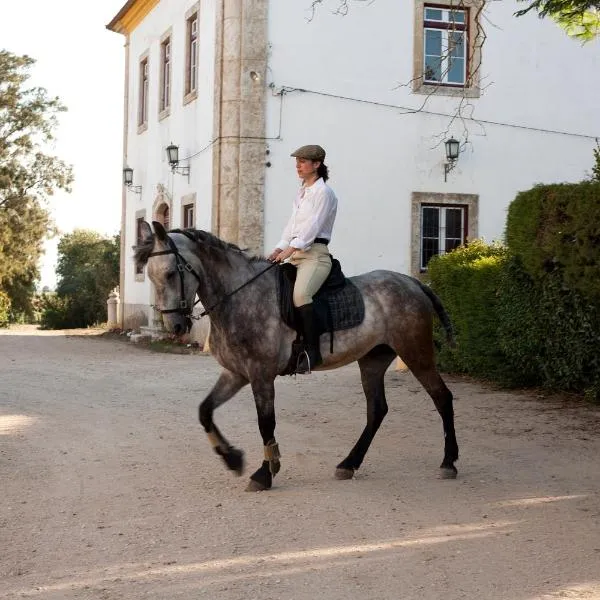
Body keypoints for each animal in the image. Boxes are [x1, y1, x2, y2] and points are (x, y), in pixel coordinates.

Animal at [134, 221, 458, 492]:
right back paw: (348, 464)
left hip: (416, 353)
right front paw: (233, 459)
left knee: (442, 398)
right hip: (372, 361)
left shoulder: (261, 375)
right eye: (149, 274)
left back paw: (449, 462)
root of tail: (412, 282)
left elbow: (266, 424)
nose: (175, 326)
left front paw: (264, 473)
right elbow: (205, 411)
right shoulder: (236, 374)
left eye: (171, 273)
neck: (239, 297)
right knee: (377, 410)